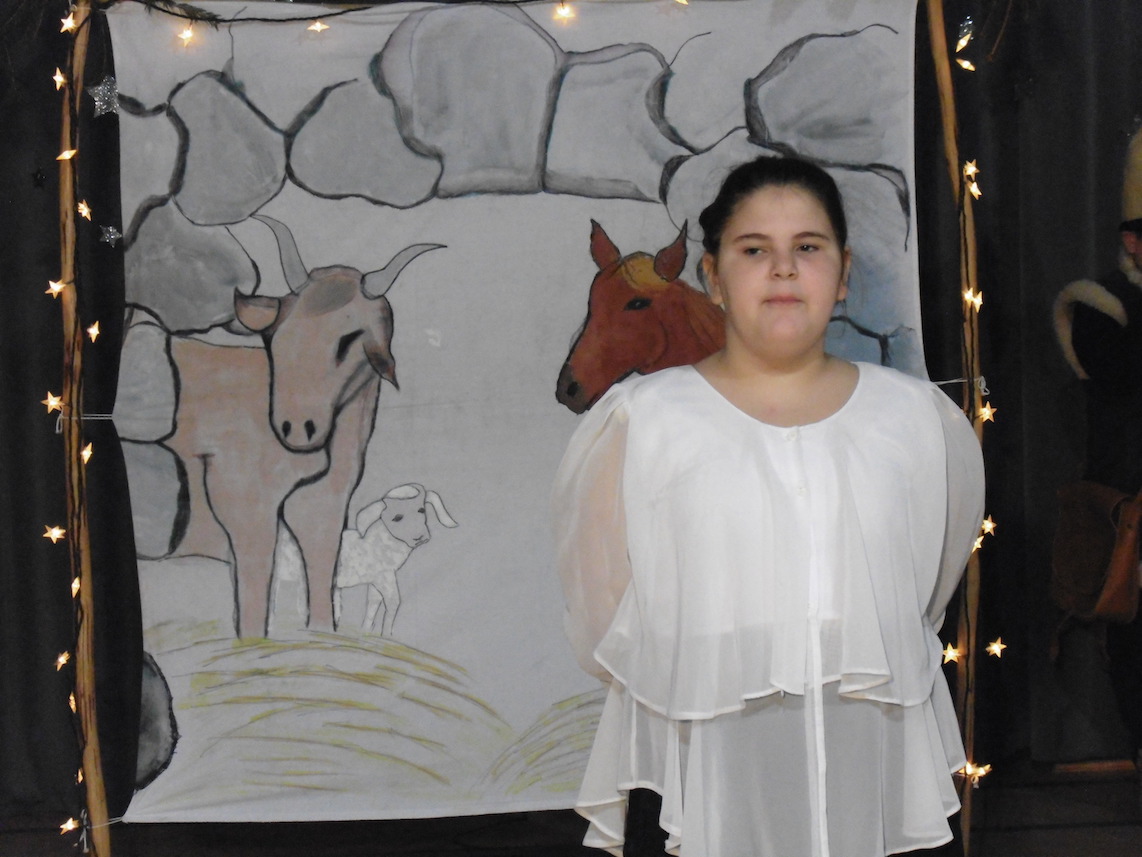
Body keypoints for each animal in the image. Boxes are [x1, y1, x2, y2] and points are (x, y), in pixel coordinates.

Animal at [167, 215, 442, 638]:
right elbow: (254, 595)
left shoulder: (322, 505)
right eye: (276, 336)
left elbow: (321, 567)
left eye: (349, 338)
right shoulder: (246, 505)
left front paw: (323, 632)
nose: (296, 427)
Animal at [333, 483, 458, 636]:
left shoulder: (376, 583)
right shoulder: (386, 580)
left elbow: (372, 605)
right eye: (397, 518)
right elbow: (393, 603)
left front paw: (365, 632)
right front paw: (386, 635)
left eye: (421, 510)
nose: (420, 537)